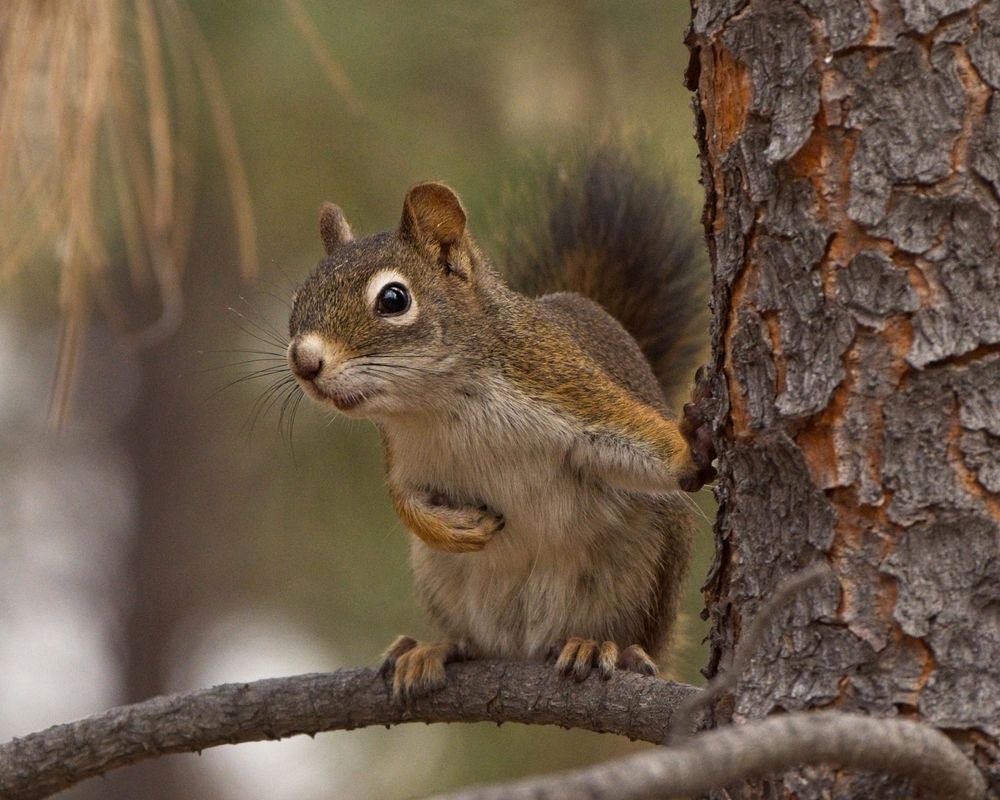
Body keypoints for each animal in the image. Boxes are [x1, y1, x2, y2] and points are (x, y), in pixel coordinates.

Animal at [287, 150, 714, 700]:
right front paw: (454, 528)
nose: (303, 362)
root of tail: (527, 646)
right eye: (299, 296)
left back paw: (605, 648)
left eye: (393, 299)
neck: (441, 406)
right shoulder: (403, 455)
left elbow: (634, 440)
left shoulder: (561, 383)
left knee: (642, 642)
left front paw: (689, 449)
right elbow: (404, 502)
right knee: (475, 642)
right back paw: (433, 648)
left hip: (645, 570)